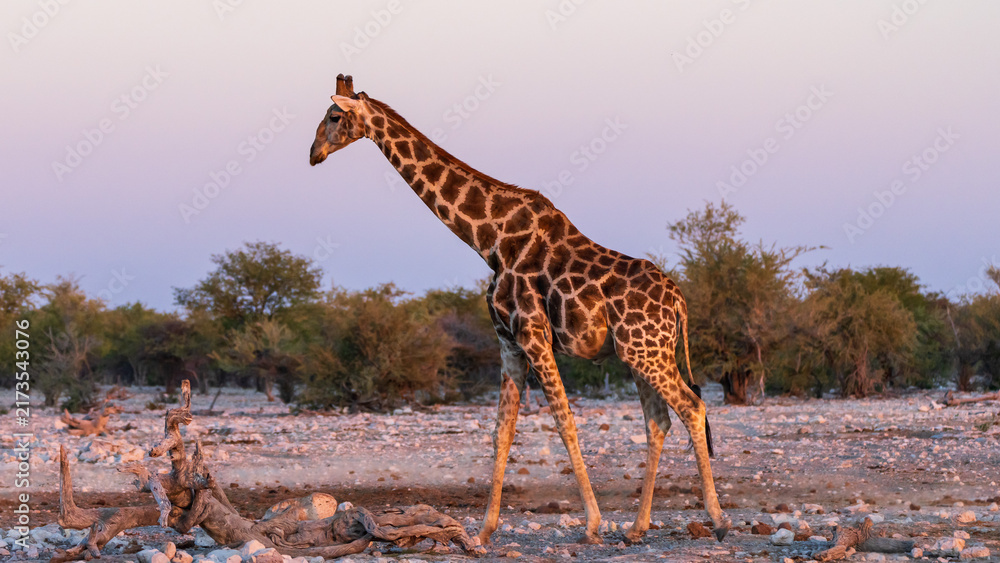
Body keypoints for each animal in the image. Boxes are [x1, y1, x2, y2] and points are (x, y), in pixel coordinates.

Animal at [309, 74, 731, 546]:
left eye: (334, 116)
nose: (313, 153)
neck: (488, 240)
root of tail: (679, 301)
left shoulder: (533, 333)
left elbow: (564, 420)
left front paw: (592, 523)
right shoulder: (508, 342)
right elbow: (502, 431)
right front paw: (485, 530)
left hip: (647, 353)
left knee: (691, 408)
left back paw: (717, 520)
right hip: (639, 354)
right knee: (658, 421)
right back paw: (637, 528)